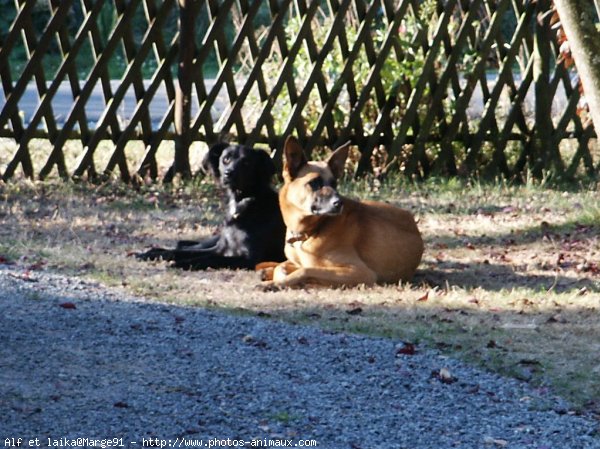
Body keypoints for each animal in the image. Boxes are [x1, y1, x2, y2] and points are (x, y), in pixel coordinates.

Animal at [137, 144, 286, 270]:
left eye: (246, 162)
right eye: (226, 159)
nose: (228, 173)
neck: (242, 202)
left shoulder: (251, 259)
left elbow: (208, 258)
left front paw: (181, 263)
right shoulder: (220, 248)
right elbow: (188, 253)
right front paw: (152, 254)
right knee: (188, 247)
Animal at [260, 135, 424, 288]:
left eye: (334, 184)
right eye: (314, 183)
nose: (339, 203)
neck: (309, 232)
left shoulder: (361, 272)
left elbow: (306, 270)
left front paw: (277, 283)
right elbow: (283, 267)